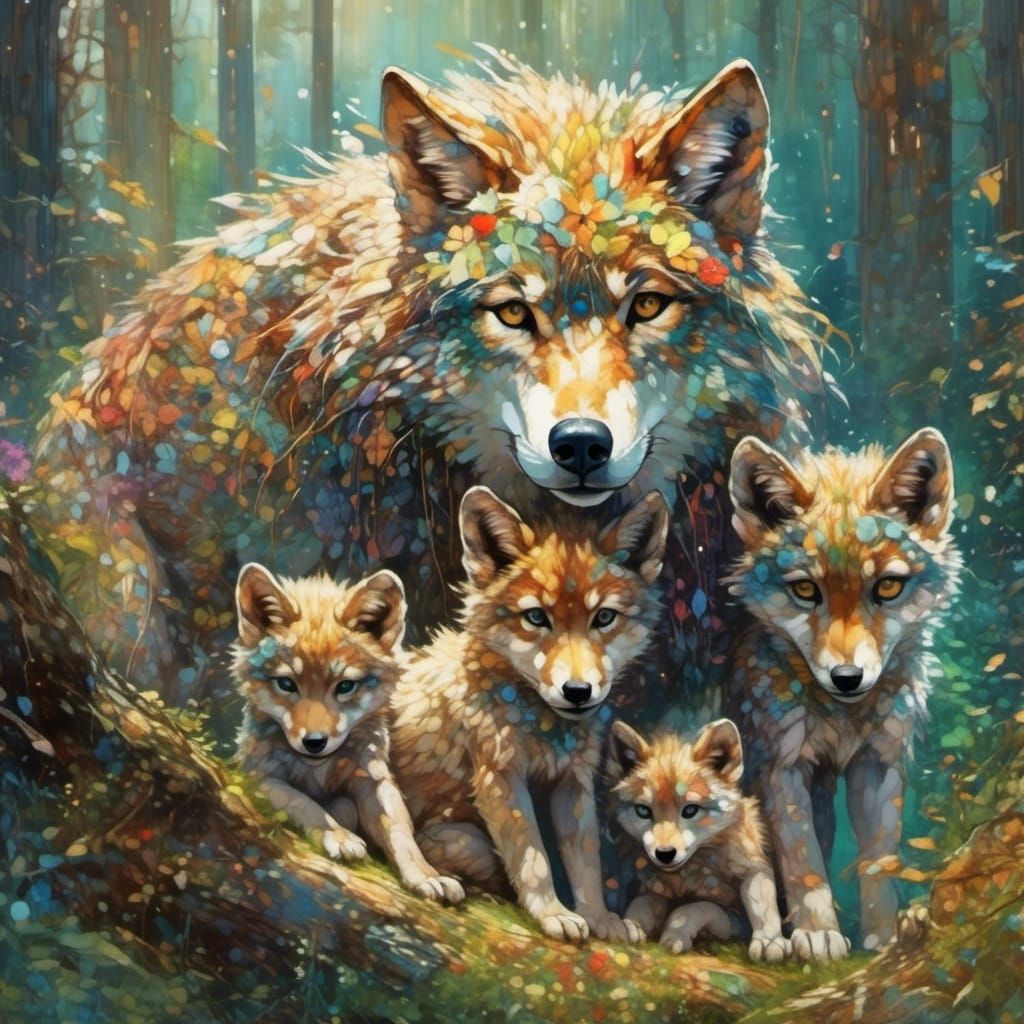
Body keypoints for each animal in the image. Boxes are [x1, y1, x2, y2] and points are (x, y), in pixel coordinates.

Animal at [232, 561, 463, 903]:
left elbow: (400, 832)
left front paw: (427, 875)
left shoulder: (374, 779)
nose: (314, 742)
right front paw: (339, 837)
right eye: (286, 684)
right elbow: (303, 802)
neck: (320, 770)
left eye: (344, 687)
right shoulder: (257, 776)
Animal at [389, 484, 669, 943]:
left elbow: (587, 866)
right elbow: (533, 857)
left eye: (604, 617)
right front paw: (553, 914)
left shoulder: (573, 783)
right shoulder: (500, 776)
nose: (578, 691)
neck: (543, 729)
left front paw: (600, 920)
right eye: (537, 617)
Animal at [608, 718, 787, 961]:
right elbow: (641, 904)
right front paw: (629, 925)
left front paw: (770, 942)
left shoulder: (748, 884)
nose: (665, 854)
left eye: (690, 810)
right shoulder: (656, 890)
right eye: (644, 811)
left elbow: (697, 907)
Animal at [723, 428, 960, 959]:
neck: (841, 717)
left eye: (888, 587)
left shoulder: (877, 763)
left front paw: (883, 939)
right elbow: (803, 860)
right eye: (806, 591)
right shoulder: (783, 766)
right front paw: (817, 934)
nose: (847, 676)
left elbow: (878, 862)